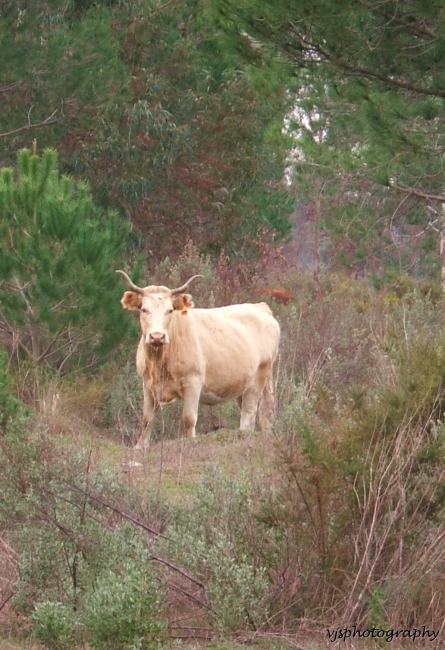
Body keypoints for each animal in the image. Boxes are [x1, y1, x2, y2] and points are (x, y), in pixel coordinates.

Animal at [116, 270, 280, 448]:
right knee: (264, 411)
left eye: (170, 310)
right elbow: (147, 419)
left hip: (259, 375)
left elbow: (189, 418)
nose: (157, 336)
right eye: (144, 310)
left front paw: (190, 442)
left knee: (249, 411)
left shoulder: (193, 381)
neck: (160, 361)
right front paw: (140, 446)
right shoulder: (147, 384)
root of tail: (259, 307)